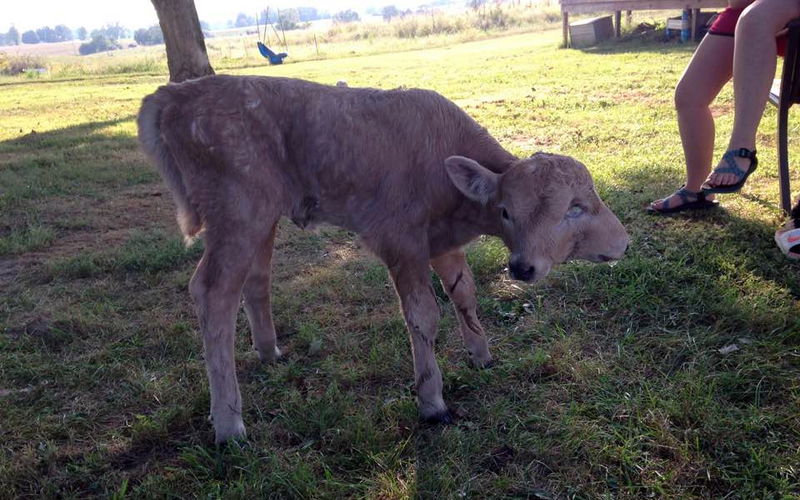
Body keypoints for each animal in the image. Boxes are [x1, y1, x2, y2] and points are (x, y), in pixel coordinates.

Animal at [138, 76, 628, 444]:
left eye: (581, 203)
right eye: (507, 211)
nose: (522, 267)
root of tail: (172, 94)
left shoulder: (441, 241)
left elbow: (464, 294)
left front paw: (482, 355)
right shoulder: (401, 239)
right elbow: (423, 315)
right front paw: (432, 402)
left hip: (260, 217)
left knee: (256, 278)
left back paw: (269, 351)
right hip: (237, 211)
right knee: (213, 292)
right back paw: (229, 425)